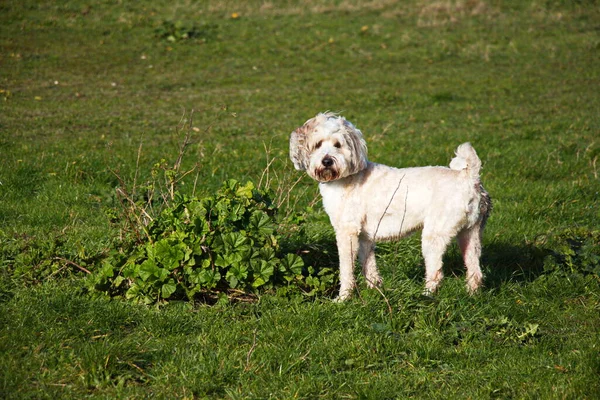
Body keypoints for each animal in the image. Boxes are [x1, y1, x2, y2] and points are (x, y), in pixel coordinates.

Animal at [290, 112, 492, 300]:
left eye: (338, 145)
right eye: (317, 144)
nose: (327, 161)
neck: (346, 177)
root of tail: (470, 177)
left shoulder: (347, 232)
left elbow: (346, 270)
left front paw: (343, 298)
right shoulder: (364, 237)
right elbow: (369, 266)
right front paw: (375, 290)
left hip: (434, 236)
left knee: (436, 273)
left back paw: (425, 296)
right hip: (471, 235)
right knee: (475, 271)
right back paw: (472, 295)